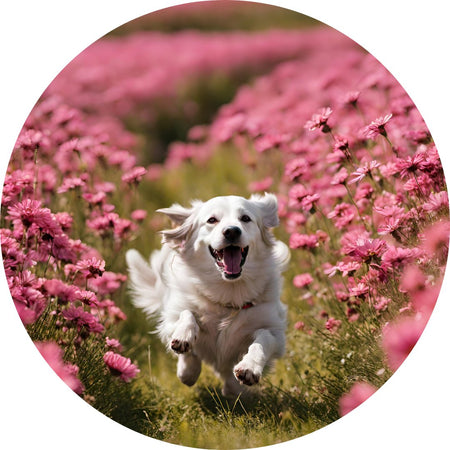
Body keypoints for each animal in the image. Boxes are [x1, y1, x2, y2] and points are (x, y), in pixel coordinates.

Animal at [125, 193, 290, 398]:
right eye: (212, 220)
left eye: (245, 218)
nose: (231, 231)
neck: (228, 292)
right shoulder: (171, 317)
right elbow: (187, 315)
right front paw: (184, 340)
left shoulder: (275, 332)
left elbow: (263, 339)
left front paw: (249, 368)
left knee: (231, 382)